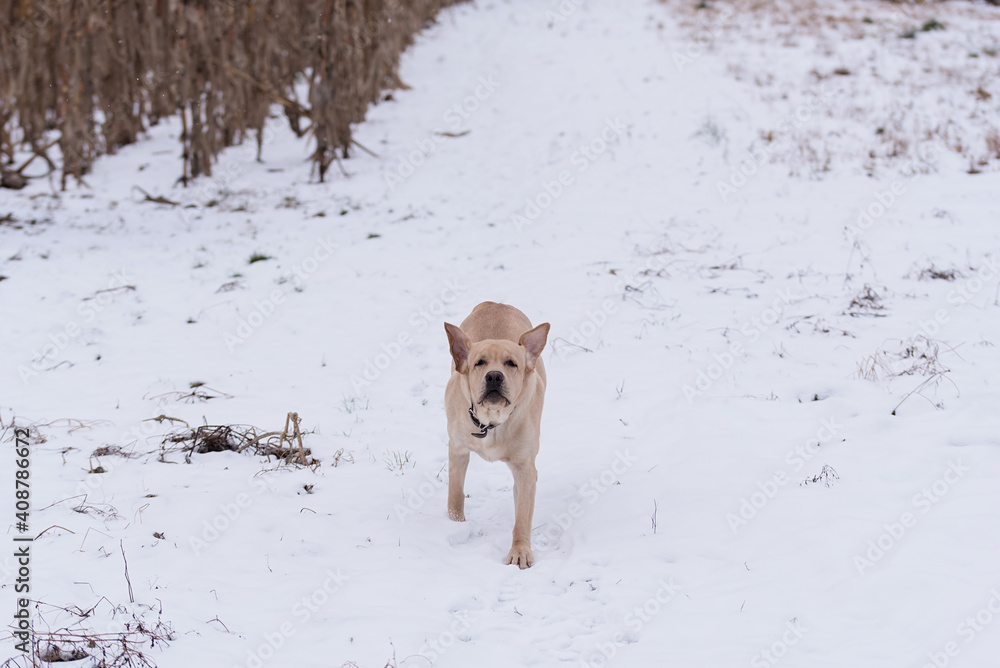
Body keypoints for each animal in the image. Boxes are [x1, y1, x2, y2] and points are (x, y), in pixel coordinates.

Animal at [446, 302, 552, 568]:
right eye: (479, 363)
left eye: (511, 363)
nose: (494, 375)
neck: (492, 422)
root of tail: (495, 303)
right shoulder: (457, 450)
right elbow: (455, 495)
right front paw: (454, 525)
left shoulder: (525, 470)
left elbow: (523, 516)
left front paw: (520, 550)